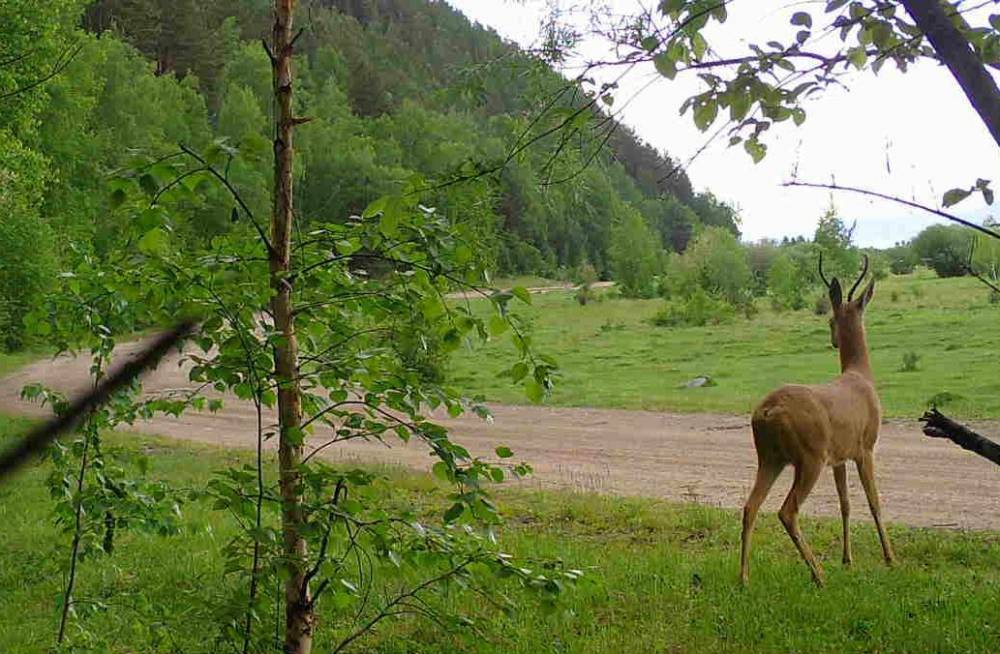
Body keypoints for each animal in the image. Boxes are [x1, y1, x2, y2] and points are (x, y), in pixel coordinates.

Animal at [740, 256, 896, 588]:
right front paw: (890, 558)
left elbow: (845, 503)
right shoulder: (865, 449)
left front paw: (847, 559)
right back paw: (818, 574)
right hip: (809, 459)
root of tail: (767, 411)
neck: (860, 376)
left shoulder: (839, 458)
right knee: (787, 511)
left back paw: (744, 578)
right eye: (830, 321)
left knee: (750, 506)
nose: (834, 340)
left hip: (770, 459)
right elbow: (874, 501)